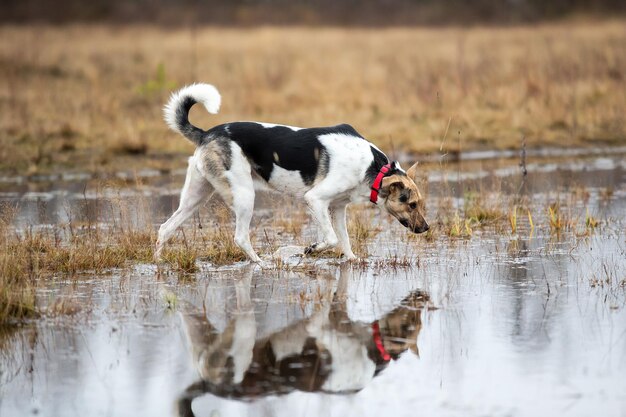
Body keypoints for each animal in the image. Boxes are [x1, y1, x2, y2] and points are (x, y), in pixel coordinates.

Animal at [156, 83, 428, 262]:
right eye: (412, 204)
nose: (426, 229)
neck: (374, 168)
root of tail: (206, 134)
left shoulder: (338, 208)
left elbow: (344, 240)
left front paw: (352, 260)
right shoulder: (315, 200)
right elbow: (330, 238)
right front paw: (311, 249)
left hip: (194, 198)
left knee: (165, 229)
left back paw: (158, 263)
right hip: (244, 196)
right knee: (240, 237)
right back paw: (260, 264)